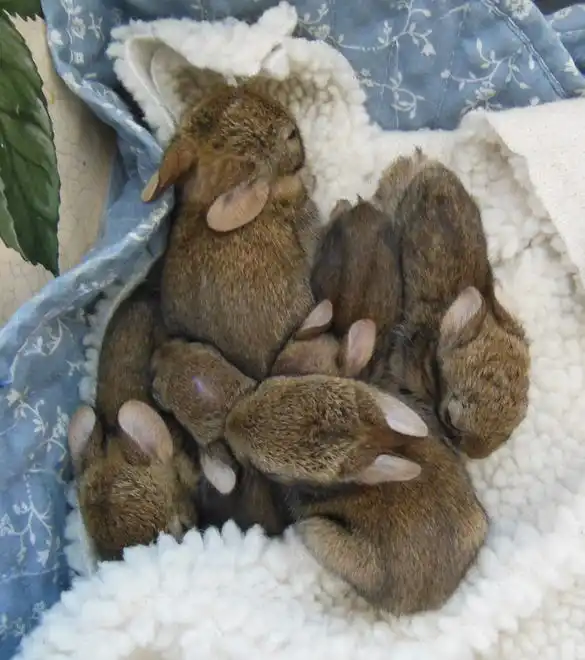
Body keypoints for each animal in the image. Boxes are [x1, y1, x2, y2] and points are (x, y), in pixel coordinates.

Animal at [221, 374, 486, 616]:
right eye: (274, 383)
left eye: (273, 472)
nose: (228, 426)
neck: (372, 440)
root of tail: (427, 602)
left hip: (316, 529)